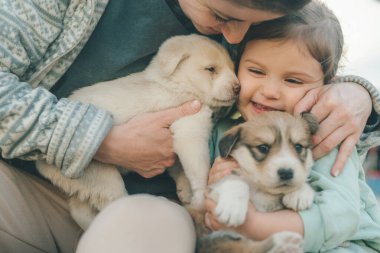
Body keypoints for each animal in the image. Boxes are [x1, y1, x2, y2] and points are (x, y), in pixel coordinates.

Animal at [35, 33, 238, 229]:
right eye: (211, 69)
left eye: (232, 67)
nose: (238, 88)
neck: (175, 82)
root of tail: (41, 161)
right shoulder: (190, 131)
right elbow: (199, 169)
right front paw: (201, 198)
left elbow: (180, 167)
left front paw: (185, 188)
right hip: (105, 178)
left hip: (87, 183)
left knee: (80, 211)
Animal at [197, 112, 320, 253]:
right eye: (263, 148)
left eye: (298, 147)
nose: (286, 173)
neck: (262, 190)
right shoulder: (212, 191)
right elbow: (236, 180)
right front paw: (233, 207)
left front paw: (299, 194)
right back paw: (284, 242)